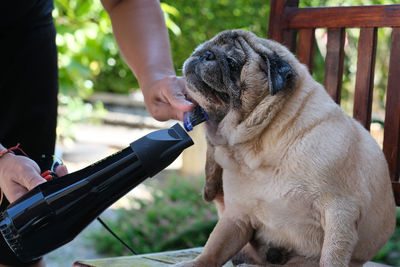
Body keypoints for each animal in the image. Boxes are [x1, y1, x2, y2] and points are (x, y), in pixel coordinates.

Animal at [178, 29, 396, 267]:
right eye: (203, 48)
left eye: (232, 63)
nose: (205, 54)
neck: (263, 142)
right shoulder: (236, 216)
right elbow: (215, 247)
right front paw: (195, 263)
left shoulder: (340, 211)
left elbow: (332, 255)